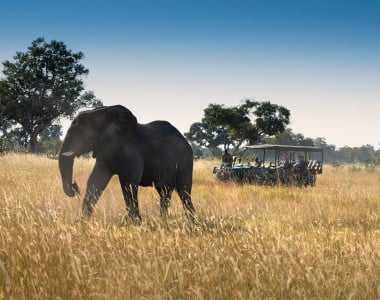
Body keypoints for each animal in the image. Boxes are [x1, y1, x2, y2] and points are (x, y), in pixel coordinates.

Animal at [60, 104, 196, 221]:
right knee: (164, 193)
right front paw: (80, 222)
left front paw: (135, 223)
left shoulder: (132, 150)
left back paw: (192, 223)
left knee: (184, 192)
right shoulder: (106, 151)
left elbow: (129, 183)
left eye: (80, 132)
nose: (75, 187)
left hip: (186, 161)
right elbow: (95, 181)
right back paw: (164, 222)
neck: (103, 112)